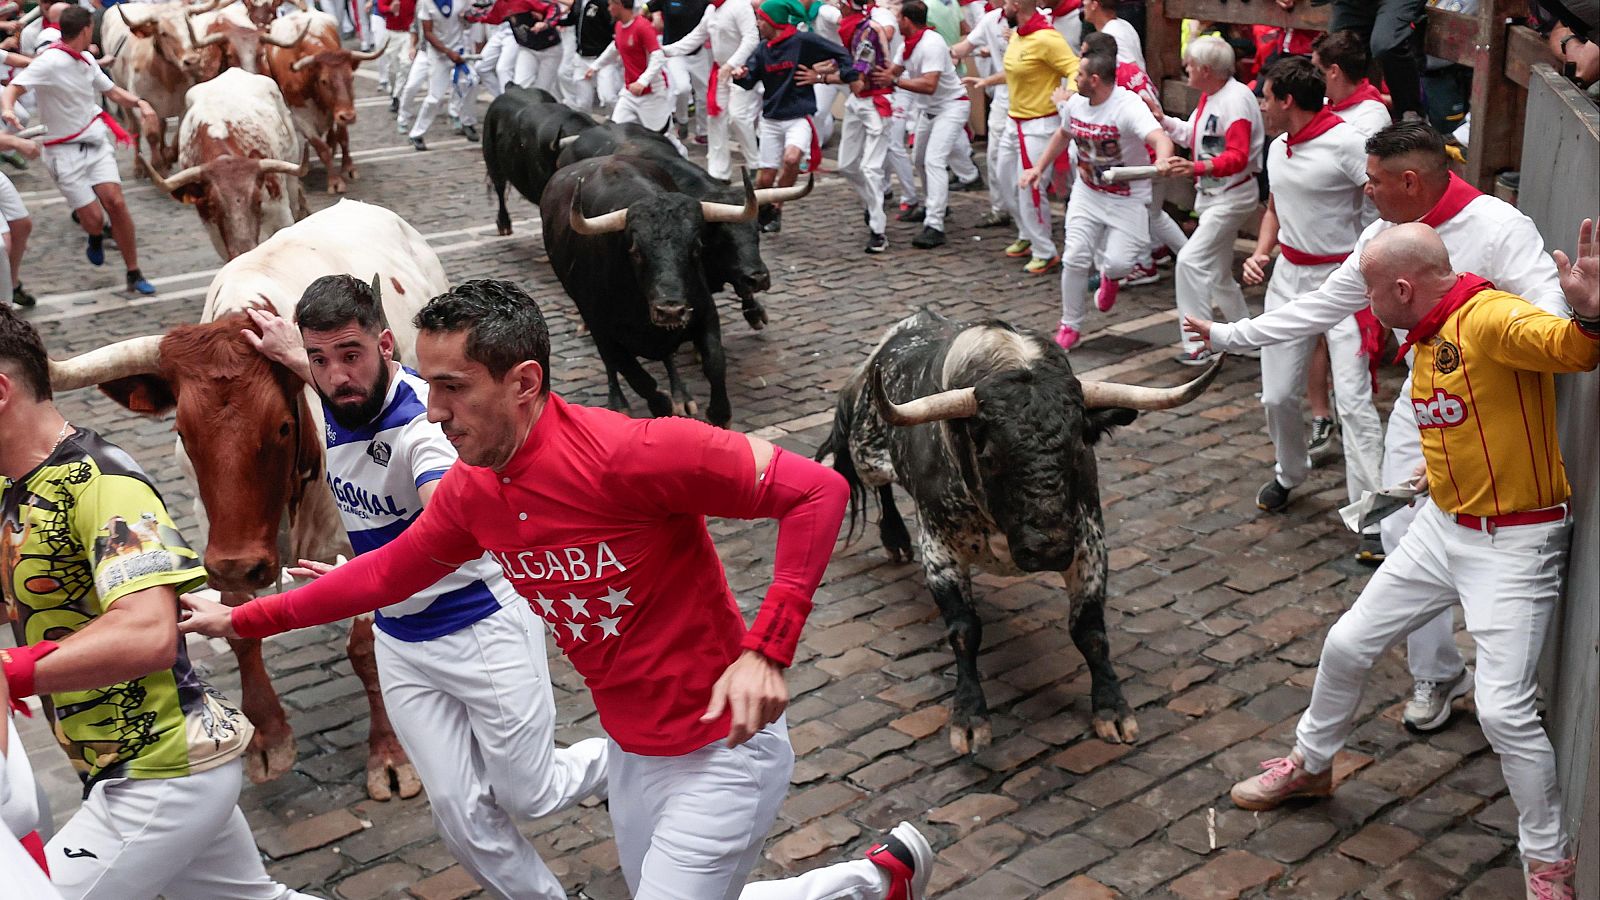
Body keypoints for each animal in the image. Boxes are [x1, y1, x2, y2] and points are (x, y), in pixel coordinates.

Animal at [537, 157, 774, 425]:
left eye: (696, 246)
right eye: (636, 251)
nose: (670, 310)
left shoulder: (704, 311)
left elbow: (714, 362)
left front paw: (718, 414)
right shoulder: (601, 329)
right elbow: (637, 377)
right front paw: (661, 406)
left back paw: (681, 395)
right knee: (612, 365)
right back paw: (620, 403)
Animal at [819, 307, 1216, 749]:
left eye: (1078, 448)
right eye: (990, 454)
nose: (1046, 549)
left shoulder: (1088, 543)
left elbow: (1090, 631)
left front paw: (1112, 707)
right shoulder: (939, 549)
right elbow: (963, 630)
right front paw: (969, 717)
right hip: (867, 452)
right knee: (878, 483)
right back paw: (894, 538)